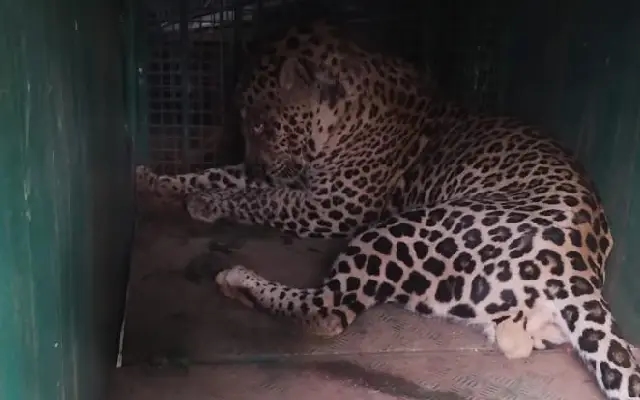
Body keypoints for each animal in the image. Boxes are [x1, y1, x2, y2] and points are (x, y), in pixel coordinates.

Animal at [136, 21, 640, 399]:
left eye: (262, 123)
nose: (260, 164)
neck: (347, 112)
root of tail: (578, 263)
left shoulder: (332, 207)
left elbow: (259, 198)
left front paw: (206, 203)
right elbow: (222, 174)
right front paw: (154, 180)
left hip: (395, 231)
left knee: (326, 312)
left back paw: (238, 279)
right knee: (515, 342)